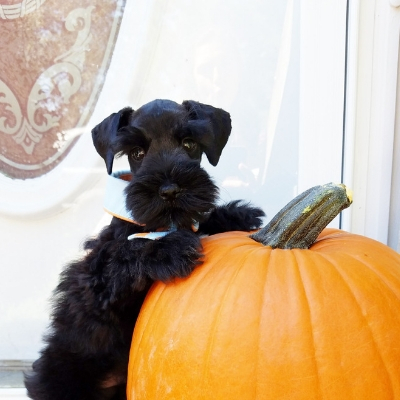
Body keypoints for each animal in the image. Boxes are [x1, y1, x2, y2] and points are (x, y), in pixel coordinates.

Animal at [26, 100, 268, 400]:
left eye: (189, 143)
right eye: (137, 153)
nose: (170, 190)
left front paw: (236, 214)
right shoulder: (97, 282)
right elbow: (127, 252)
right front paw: (169, 248)